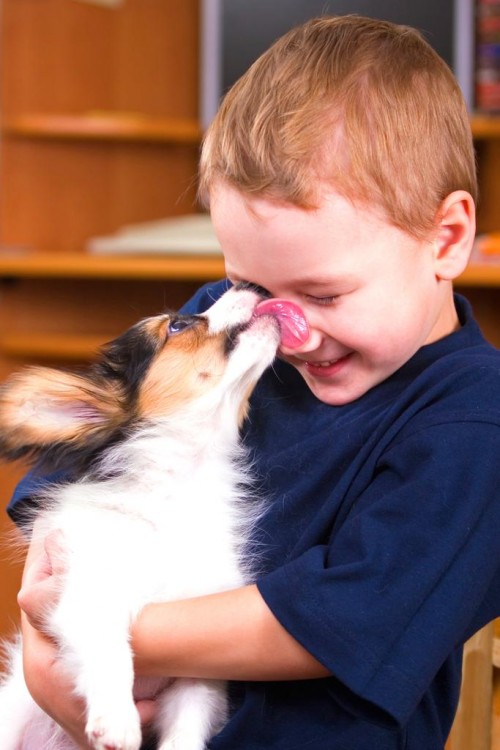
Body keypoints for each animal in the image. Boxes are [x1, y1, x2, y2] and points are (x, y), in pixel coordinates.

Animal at [0, 286, 286, 750]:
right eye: (177, 325)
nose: (255, 288)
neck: (178, 490)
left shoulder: (197, 671)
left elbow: (188, 724)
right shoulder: (87, 596)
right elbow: (112, 651)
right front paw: (117, 718)